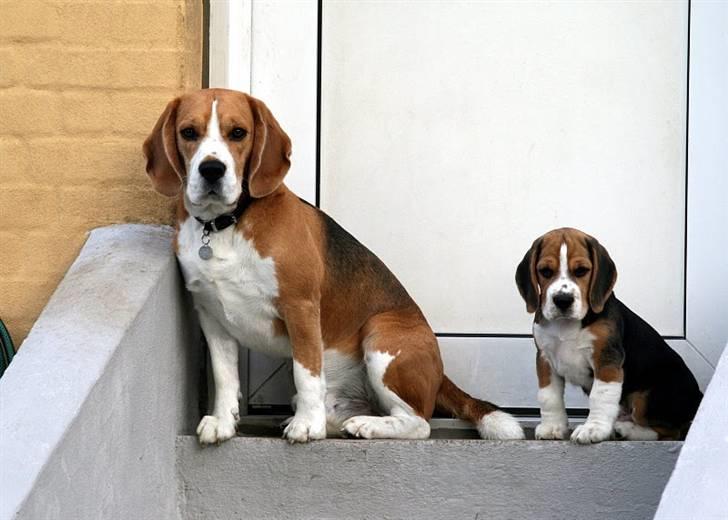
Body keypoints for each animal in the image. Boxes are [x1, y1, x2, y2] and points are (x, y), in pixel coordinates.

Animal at [142, 88, 520, 442]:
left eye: (238, 133)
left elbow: (306, 372)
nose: (211, 170)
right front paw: (223, 421)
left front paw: (308, 426)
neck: (225, 225)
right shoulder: (211, 314)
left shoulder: (301, 306)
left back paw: (364, 425)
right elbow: (224, 376)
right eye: (188, 132)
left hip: (381, 334)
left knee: (419, 423)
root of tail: (441, 376)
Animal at [516, 228, 704, 442]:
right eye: (545, 271)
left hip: (648, 397)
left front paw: (593, 428)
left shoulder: (606, 360)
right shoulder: (545, 358)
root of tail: (698, 396)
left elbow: (600, 395)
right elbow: (549, 396)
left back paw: (625, 430)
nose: (563, 300)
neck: (566, 325)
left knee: (670, 432)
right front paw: (553, 427)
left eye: (581, 271)